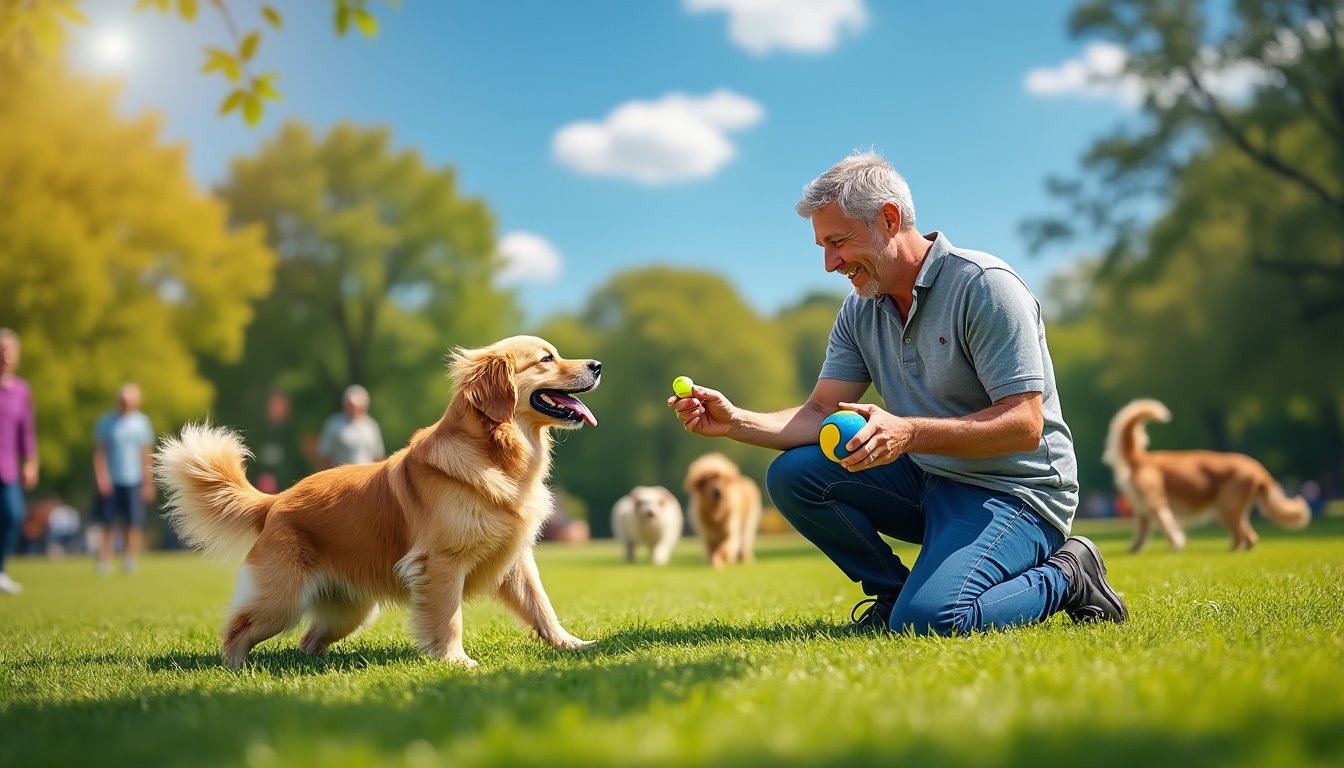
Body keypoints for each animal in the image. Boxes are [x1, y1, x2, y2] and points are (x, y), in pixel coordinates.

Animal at [154, 334, 602, 667]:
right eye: (547, 358)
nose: (597, 365)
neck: (498, 455)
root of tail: (275, 502)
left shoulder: (516, 560)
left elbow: (542, 606)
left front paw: (571, 645)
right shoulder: (441, 563)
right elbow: (448, 617)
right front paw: (455, 661)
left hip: (350, 611)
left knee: (307, 639)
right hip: (280, 600)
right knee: (238, 629)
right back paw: (234, 670)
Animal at [1096, 395, 1306, 554]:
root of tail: (1259, 469)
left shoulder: (1157, 505)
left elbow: (1168, 528)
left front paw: (1176, 546)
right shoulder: (1144, 512)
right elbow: (1142, 534)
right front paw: (1134, 549)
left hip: (1226, 508)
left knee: (1242, 534)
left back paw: (1233, 551)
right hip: (1231, 509)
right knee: (1249, 535)